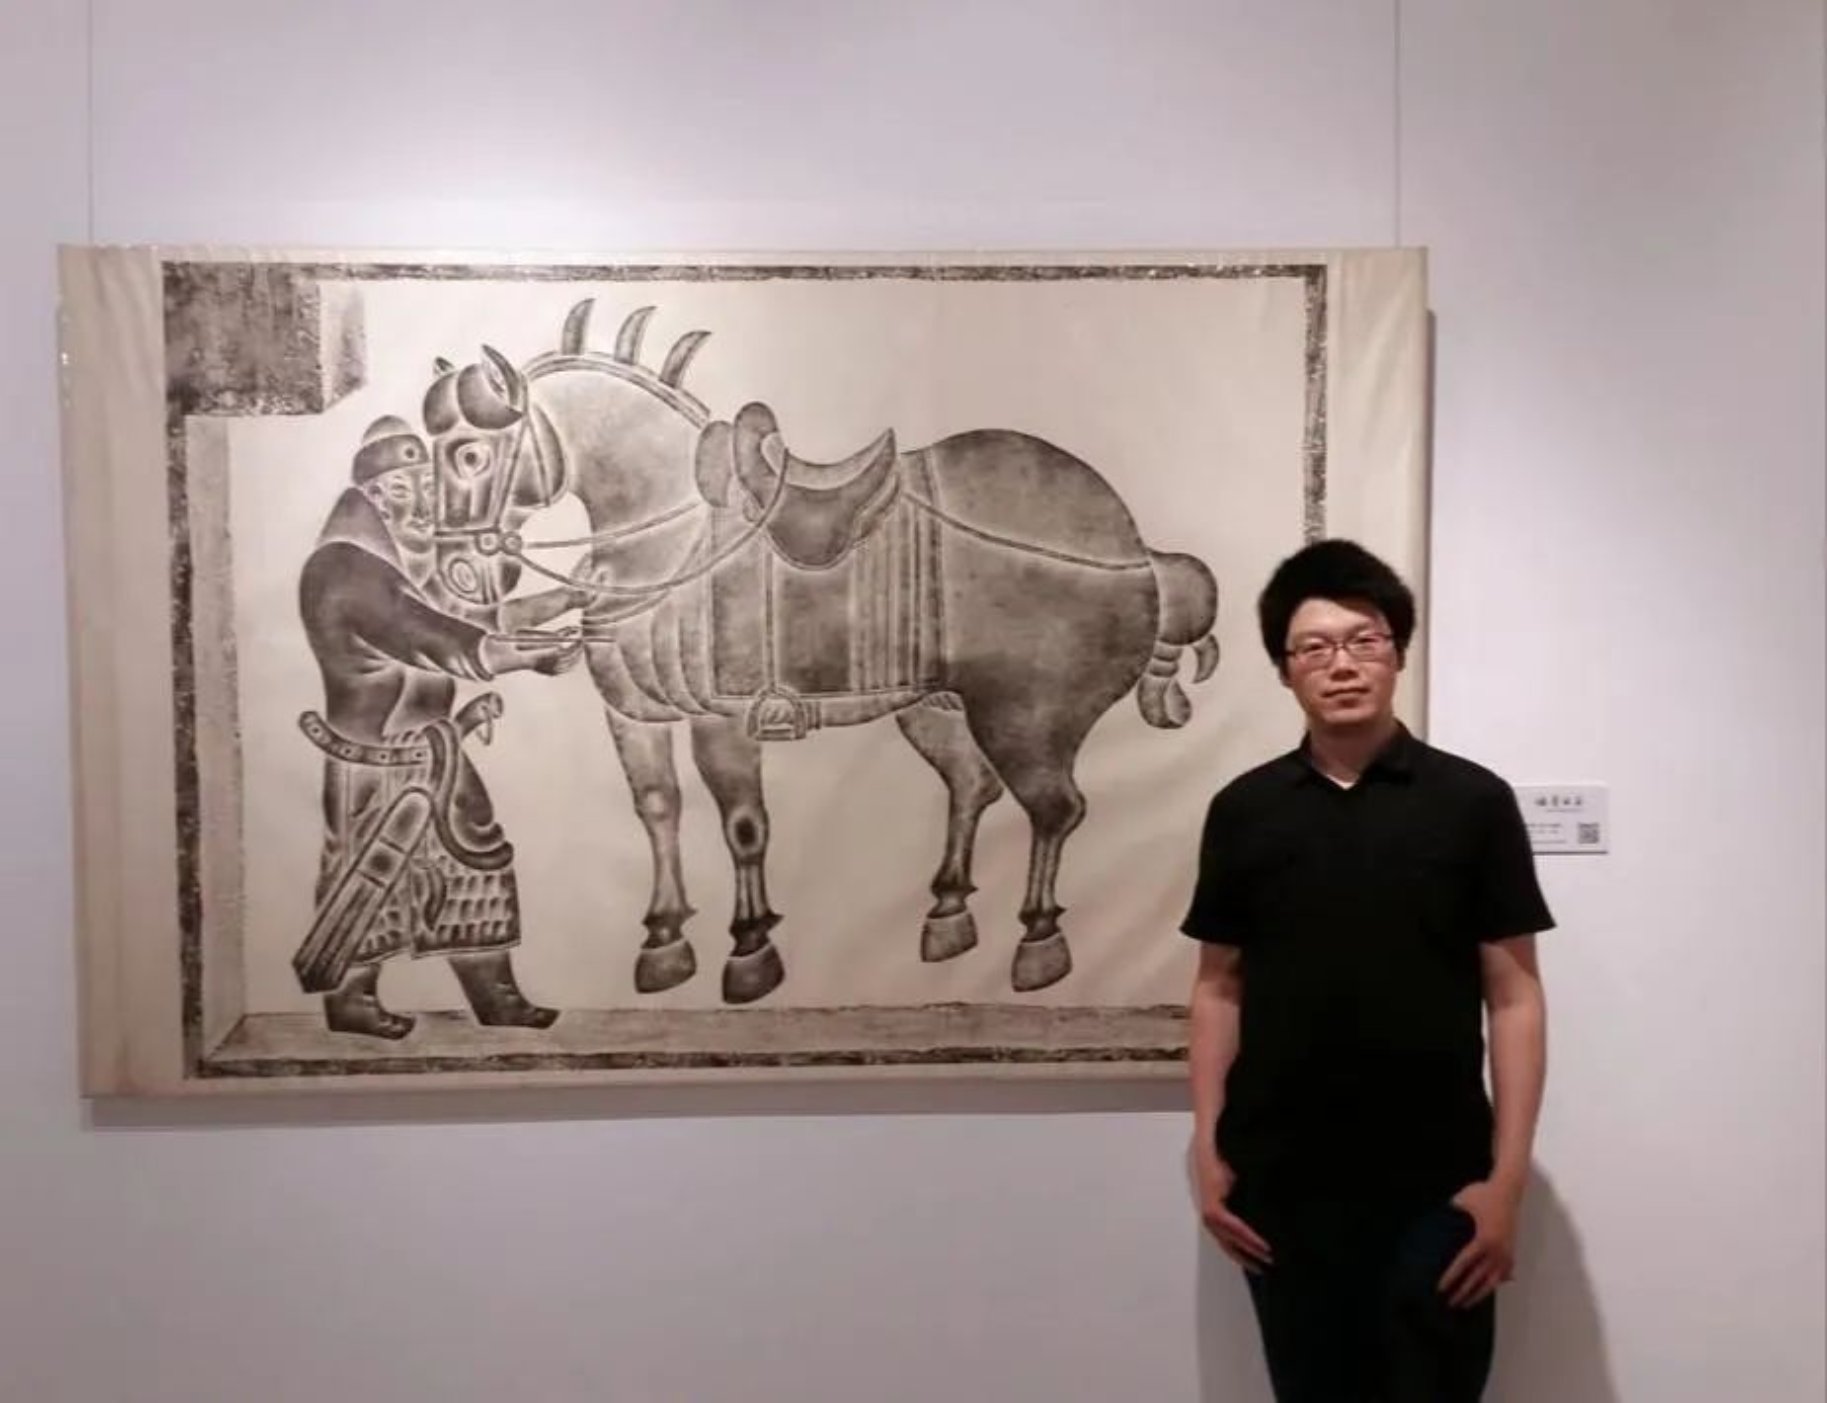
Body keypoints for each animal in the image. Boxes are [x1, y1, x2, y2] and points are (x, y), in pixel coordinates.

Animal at [432, 300, 1220, 1006]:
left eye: (471, 451)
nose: (458, 567)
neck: (668, 534)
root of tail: (1132, 550)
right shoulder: (634, 716)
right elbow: (657, 808)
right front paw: (663, 940)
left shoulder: (723, 721)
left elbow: (744, 825)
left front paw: (751, 948)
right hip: (937, 708)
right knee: (972, 787)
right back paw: (948, 913)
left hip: (1025, 719)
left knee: (1055, 809)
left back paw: (1037, 942)